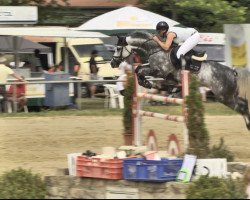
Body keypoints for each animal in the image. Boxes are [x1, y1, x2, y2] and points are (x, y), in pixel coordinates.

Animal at [111, 29, 250, 130]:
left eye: (118, 48)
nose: (112, 63)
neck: (155, 50)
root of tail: (232, 72)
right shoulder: (158, 71)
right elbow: (139, 69)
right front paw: (146, 83)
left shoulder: (160, 71)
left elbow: (140, 71)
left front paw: (146, 83)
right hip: (228, 95)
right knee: (243, 104)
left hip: (224, 96)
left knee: (242, 107)